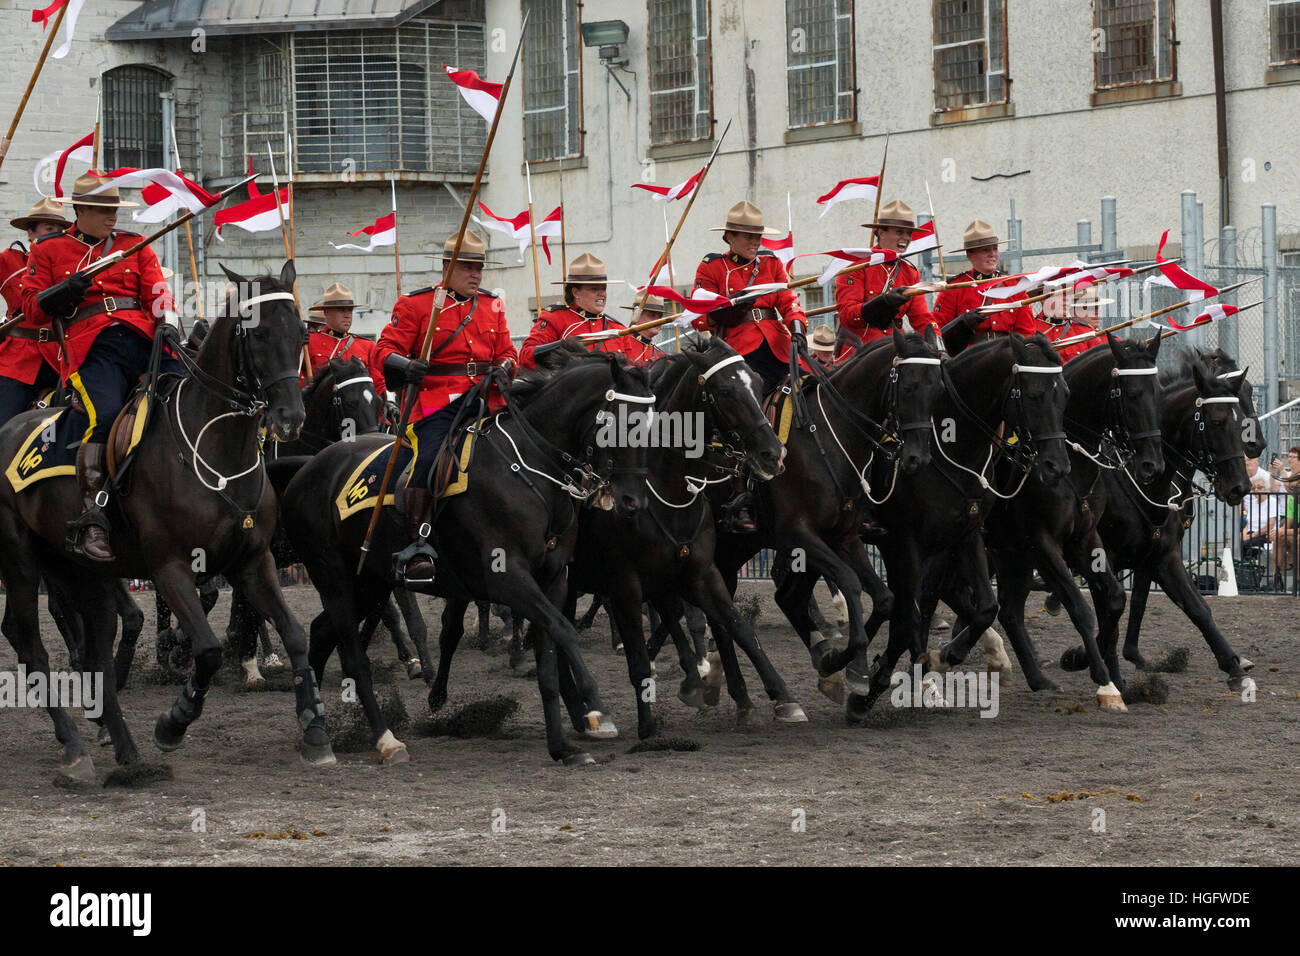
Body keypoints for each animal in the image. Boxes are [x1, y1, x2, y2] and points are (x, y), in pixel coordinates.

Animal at [0, 261, 335, 780]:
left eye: (301, 332)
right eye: (258, 334)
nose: (290, 417)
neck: (215, 448)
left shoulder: (252, 562)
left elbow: (295, 635)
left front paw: (314, 729)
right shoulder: (170, 567)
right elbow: (208, 650)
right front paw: (174, 721)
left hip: (83, 573)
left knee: (94, 651)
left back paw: (121, 746)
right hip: (20, 563)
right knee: (31, 645)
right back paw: (75, 745)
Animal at [280, 351, 655, 764]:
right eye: (623, 422)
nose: (633, 501)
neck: (529, 471)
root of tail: (308, 469)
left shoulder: (553, 582)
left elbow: (549, 657)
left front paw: (561, 747)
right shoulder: (507, 578)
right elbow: (564, 632)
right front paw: (593, 702)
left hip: (369, 581)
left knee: (320, 633)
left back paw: (313, 730)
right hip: (333, 578)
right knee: (352, 655)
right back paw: (384, 738)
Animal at [1060, 348, 1253, 691]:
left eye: (1241, 418)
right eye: (1217, 422)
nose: (1240, 487)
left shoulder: (1162, 555)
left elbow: (1195, 608)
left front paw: (1233, 665)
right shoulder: (1104, 557)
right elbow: (1111, 610)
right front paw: (1100, 667)